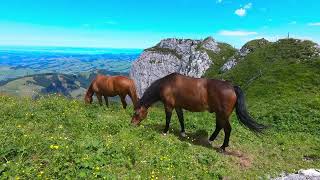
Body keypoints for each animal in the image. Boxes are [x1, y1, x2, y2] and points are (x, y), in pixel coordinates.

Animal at [131, 73, 266, 150]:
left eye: (136, 113)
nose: (131, 124)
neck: (167, 84)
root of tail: (232, 87)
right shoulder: (178, 106)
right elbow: (181, 119)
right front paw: (183, 132)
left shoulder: (169, 106)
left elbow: (168, 119)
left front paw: (165, 131)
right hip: (219, 114)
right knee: (219, 126)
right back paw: (211, 139)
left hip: (223, 114)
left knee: (227, 129)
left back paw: (223, 147)